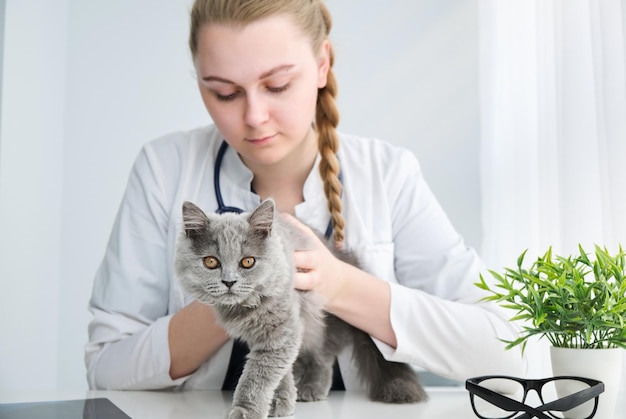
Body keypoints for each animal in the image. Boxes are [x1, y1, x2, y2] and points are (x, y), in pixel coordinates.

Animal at [176, 200, 428, 419]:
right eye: (211, 262)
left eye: (247, 262)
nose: (229, 282)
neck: (245, 307)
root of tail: (344, 257)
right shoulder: (276, 337)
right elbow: (280, 371)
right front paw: (282, 401)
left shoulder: (283, 330)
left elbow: (258, 375)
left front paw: (247, 410)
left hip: (322, 326)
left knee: (323, 359)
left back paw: (312, 388)